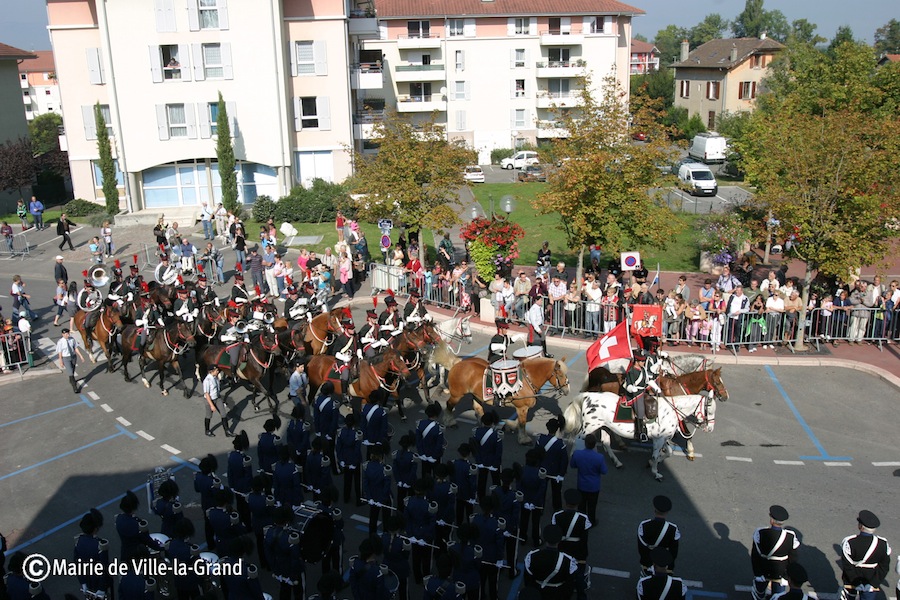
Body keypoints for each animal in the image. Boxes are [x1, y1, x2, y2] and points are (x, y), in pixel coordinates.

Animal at [564, 392, 716, 480]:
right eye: (709, 410)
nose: (710, 428)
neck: (671, 410)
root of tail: (587, 396)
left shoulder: (661, 438)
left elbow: (668, 452)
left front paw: (653, 463)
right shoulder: (659, 440)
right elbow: (655, 456)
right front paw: (655, 472)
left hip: (605, 427)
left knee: (605, 444)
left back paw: (617, 462)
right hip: (589, 427)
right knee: (577, 440)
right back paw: (573, 457)